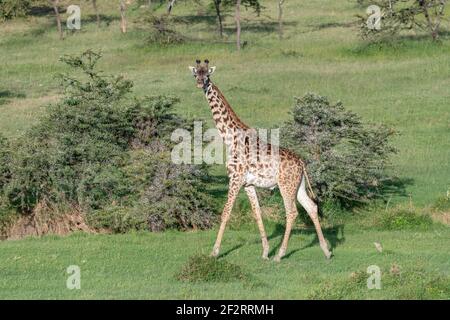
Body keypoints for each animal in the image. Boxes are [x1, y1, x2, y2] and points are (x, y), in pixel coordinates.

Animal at [188, 59, 332, 260]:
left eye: (207, 75)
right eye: (196, 74)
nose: (200, 83)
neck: (230, 137)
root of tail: (302, 163)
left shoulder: (235, 178)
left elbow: (225, 212)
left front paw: (214, 252)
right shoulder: (248, 184)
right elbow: (257, 213)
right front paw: (264, 251)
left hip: (285, 185)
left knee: (292, 212)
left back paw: (280, 254)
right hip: (298, 185)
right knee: (311, 207)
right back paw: (326, 250)